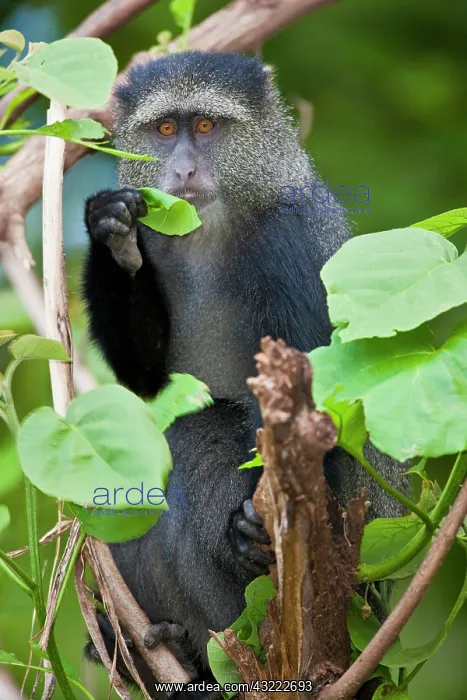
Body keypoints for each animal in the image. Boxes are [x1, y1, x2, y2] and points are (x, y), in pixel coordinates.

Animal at [82, 51, 407, 697]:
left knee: (194, 436)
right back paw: (150, 647)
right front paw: (113, 233)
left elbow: (323, 414)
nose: (182, 168)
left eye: (206, 127)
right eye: (165, 130)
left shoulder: (289, 244)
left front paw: (252, 534)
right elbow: (145, 382)